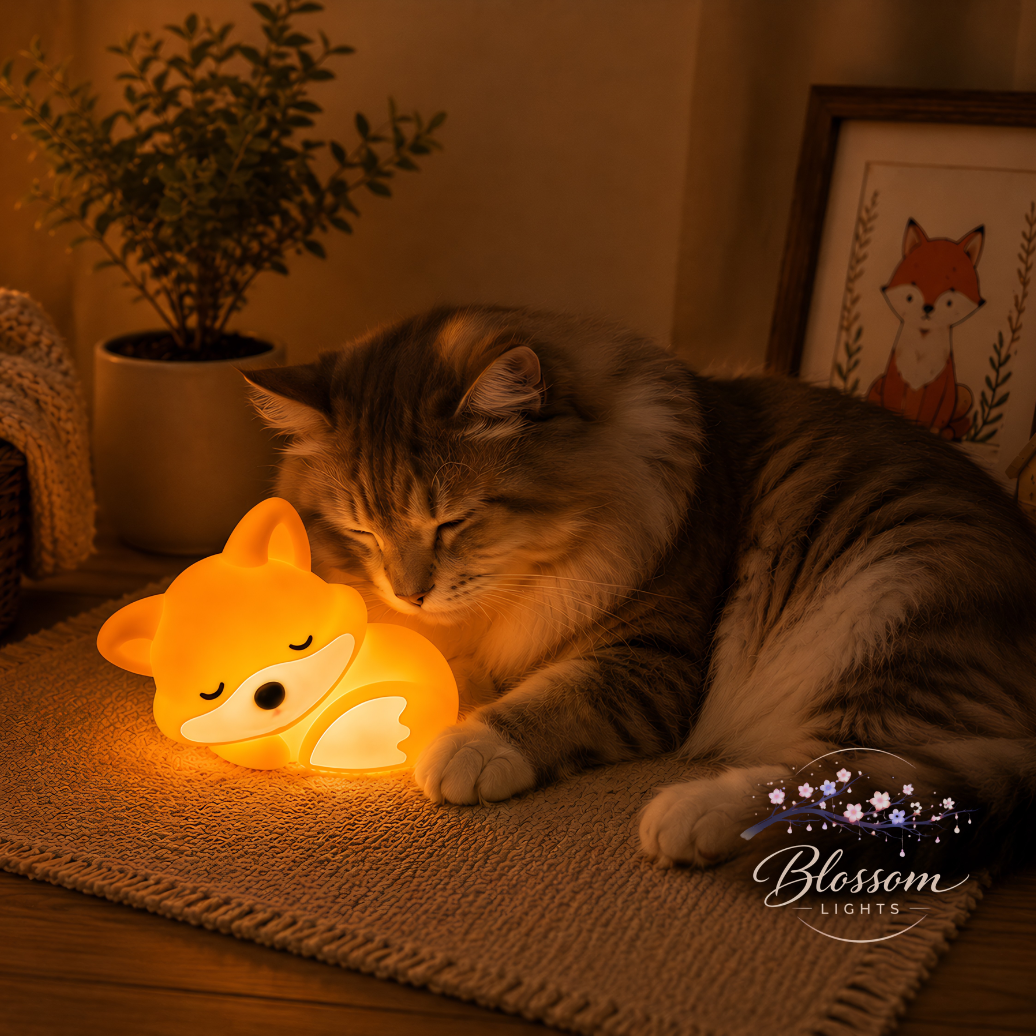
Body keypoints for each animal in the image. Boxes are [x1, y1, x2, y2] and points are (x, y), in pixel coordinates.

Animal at [867, 218, 983, 440]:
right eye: (914, 287)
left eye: (949, 293)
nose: (928, 308)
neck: (921, 346)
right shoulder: (896, 378)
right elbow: (896, 405)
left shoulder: (936, 385)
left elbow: (925, 415)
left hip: (961, 394)